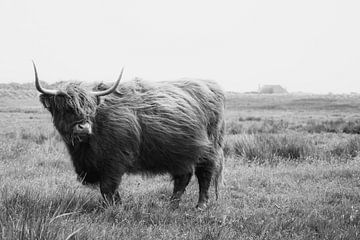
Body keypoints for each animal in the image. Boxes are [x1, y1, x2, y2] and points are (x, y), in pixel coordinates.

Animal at [33, 62, 225, 209]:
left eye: (91, 109)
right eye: (67, 108)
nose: (83, 127)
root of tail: (210, 85)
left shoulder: (115, 159)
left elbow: (107, 187)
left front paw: (113, 208)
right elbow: (109, 189)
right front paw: (116, 205)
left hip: (208, 149)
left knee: (205, 174)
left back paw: (200, 206)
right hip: (179, 152)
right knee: (183, 177)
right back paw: (172, 206)